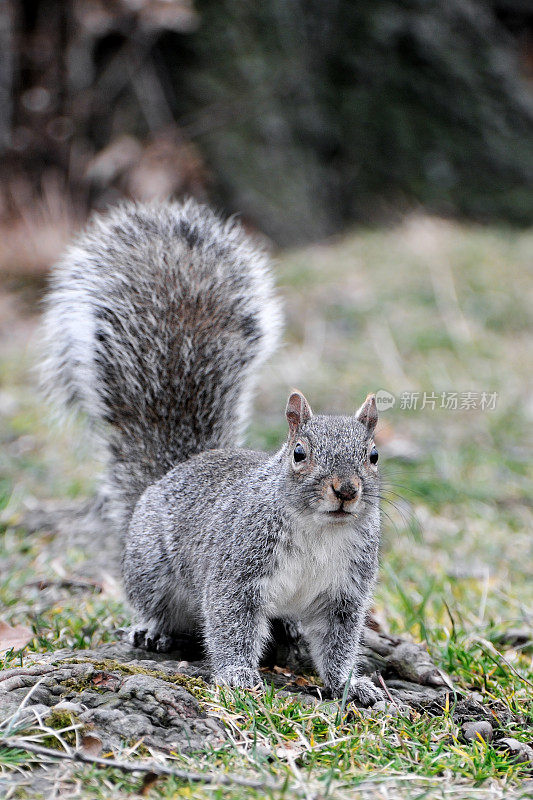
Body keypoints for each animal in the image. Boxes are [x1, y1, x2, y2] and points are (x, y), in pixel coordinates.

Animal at [42, 200, 382, 708]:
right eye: (299, 453)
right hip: (152, 569)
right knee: (159, 605)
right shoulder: (236, 570)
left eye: (374, 456)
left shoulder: (344, 594)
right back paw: (153, 631)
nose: (345, 490)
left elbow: (338, 643)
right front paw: (238, 676)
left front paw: (350, 684)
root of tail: (170, 474)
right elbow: (230, 624)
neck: (320, 531)